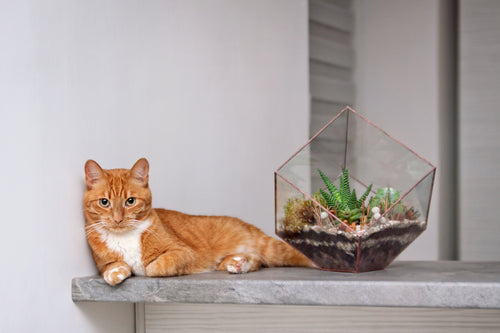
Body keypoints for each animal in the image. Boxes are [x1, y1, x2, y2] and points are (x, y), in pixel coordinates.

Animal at [83, 157, 314, 284]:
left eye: (130, 201)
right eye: (104, 202)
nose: (117, 219)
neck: (125, 237)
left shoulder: (184, 252)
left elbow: (154, 268)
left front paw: (144, 267)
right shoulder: (103, 262)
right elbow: (112, 267)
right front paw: (116, 272)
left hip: (269, 248)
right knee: (256, 261)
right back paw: (239, 263)